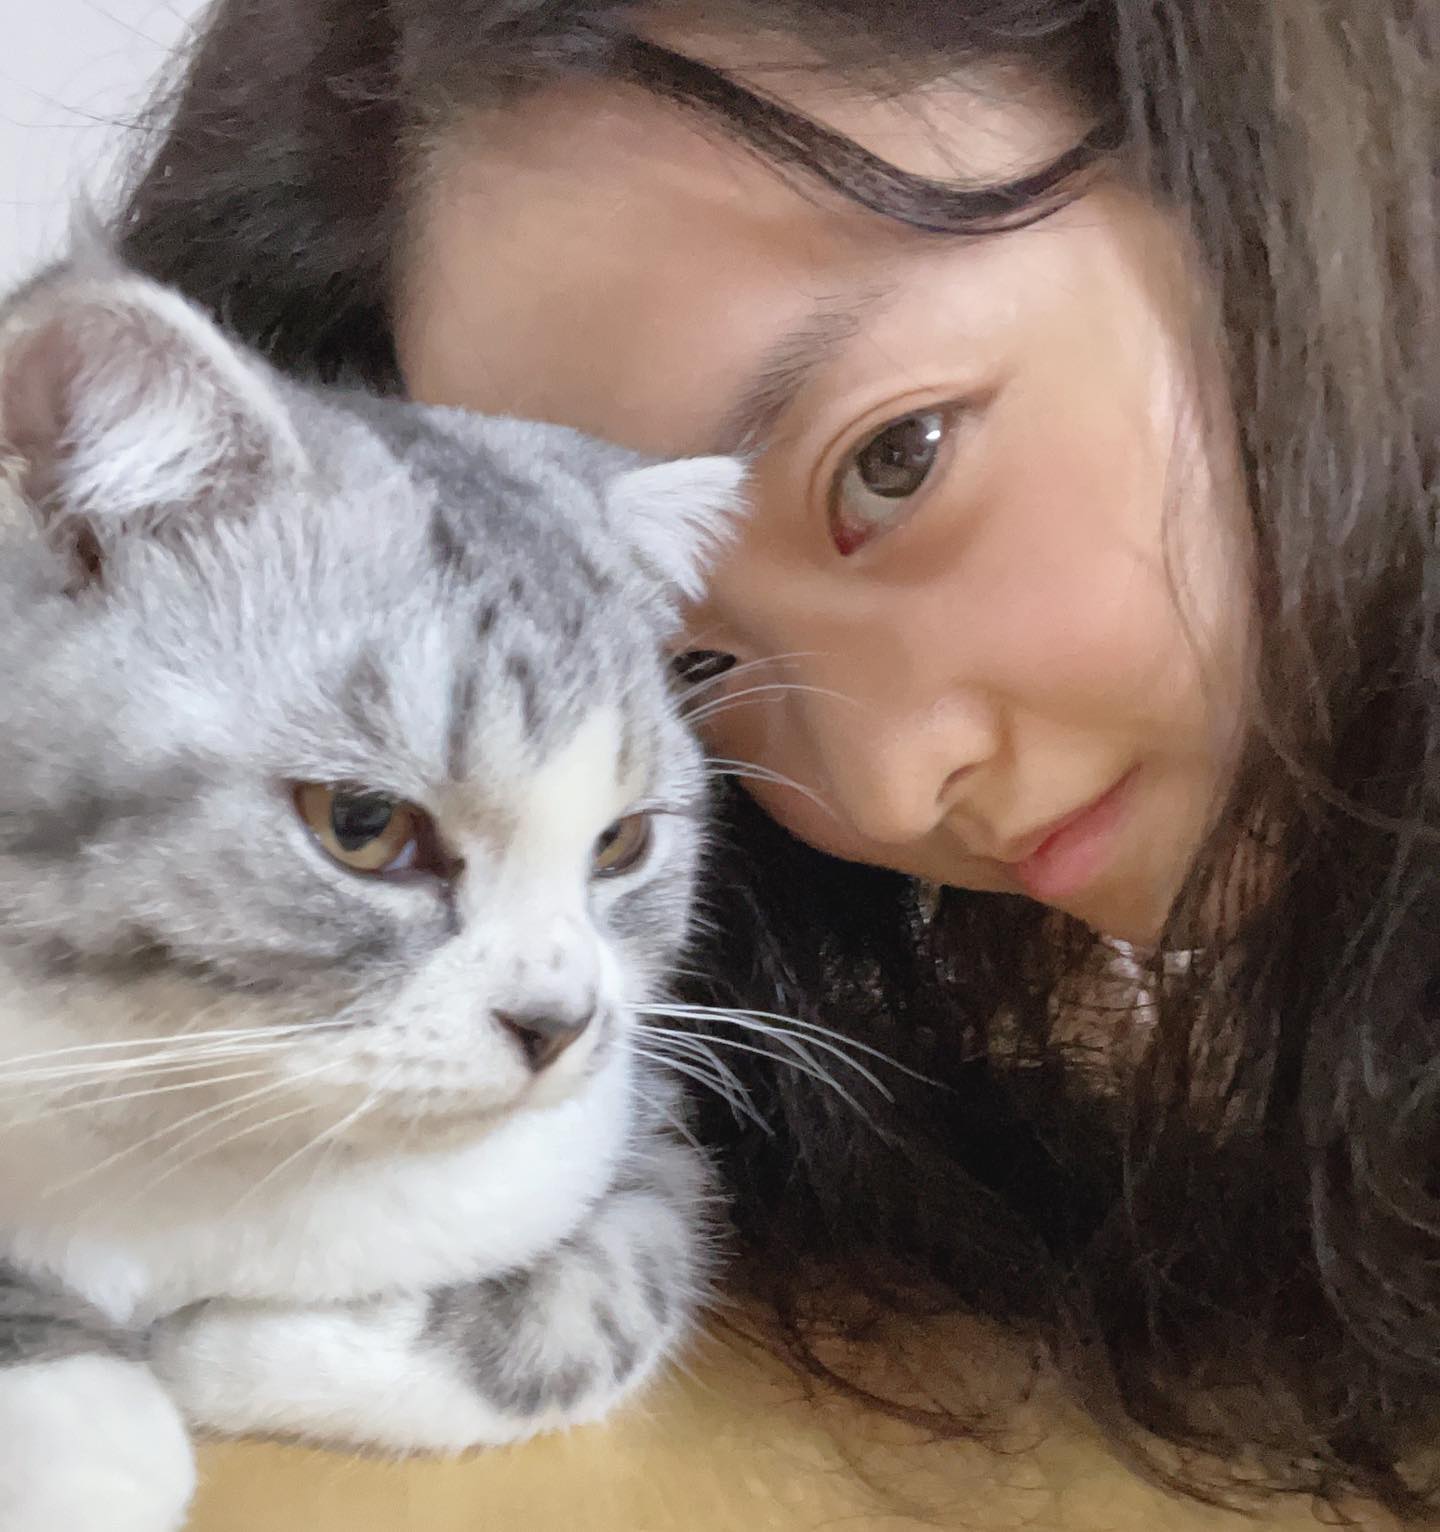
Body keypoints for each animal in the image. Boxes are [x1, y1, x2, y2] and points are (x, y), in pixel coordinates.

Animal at [0, 248, 743, 1532]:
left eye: (620, 842)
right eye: (362, 825)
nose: (559, 1021)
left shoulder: (643, 1135)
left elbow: (594, 1299)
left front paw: (226, 1348)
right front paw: (77, 1421)